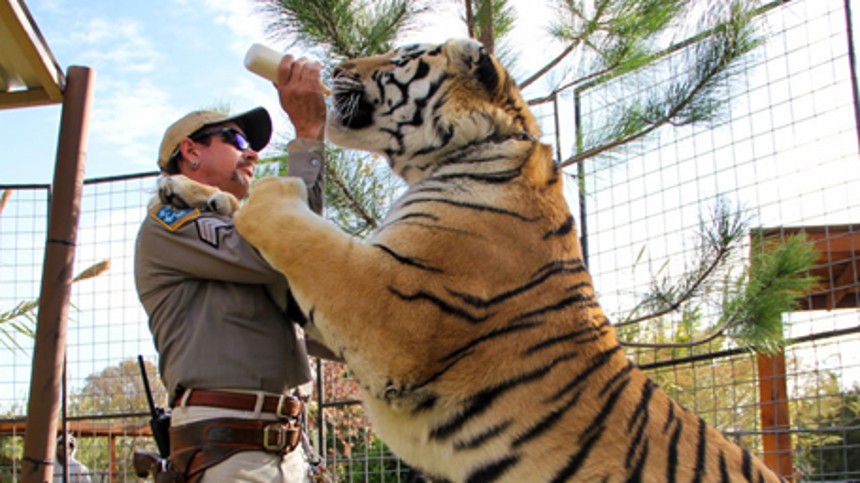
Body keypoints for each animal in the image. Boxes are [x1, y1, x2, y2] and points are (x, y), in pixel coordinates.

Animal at [163, 38, 783, 482]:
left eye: (399, 57)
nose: (335, 65)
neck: (457, 152)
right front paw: (185, 188)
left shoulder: (391, 308)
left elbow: (302, 230)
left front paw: (268, 189)